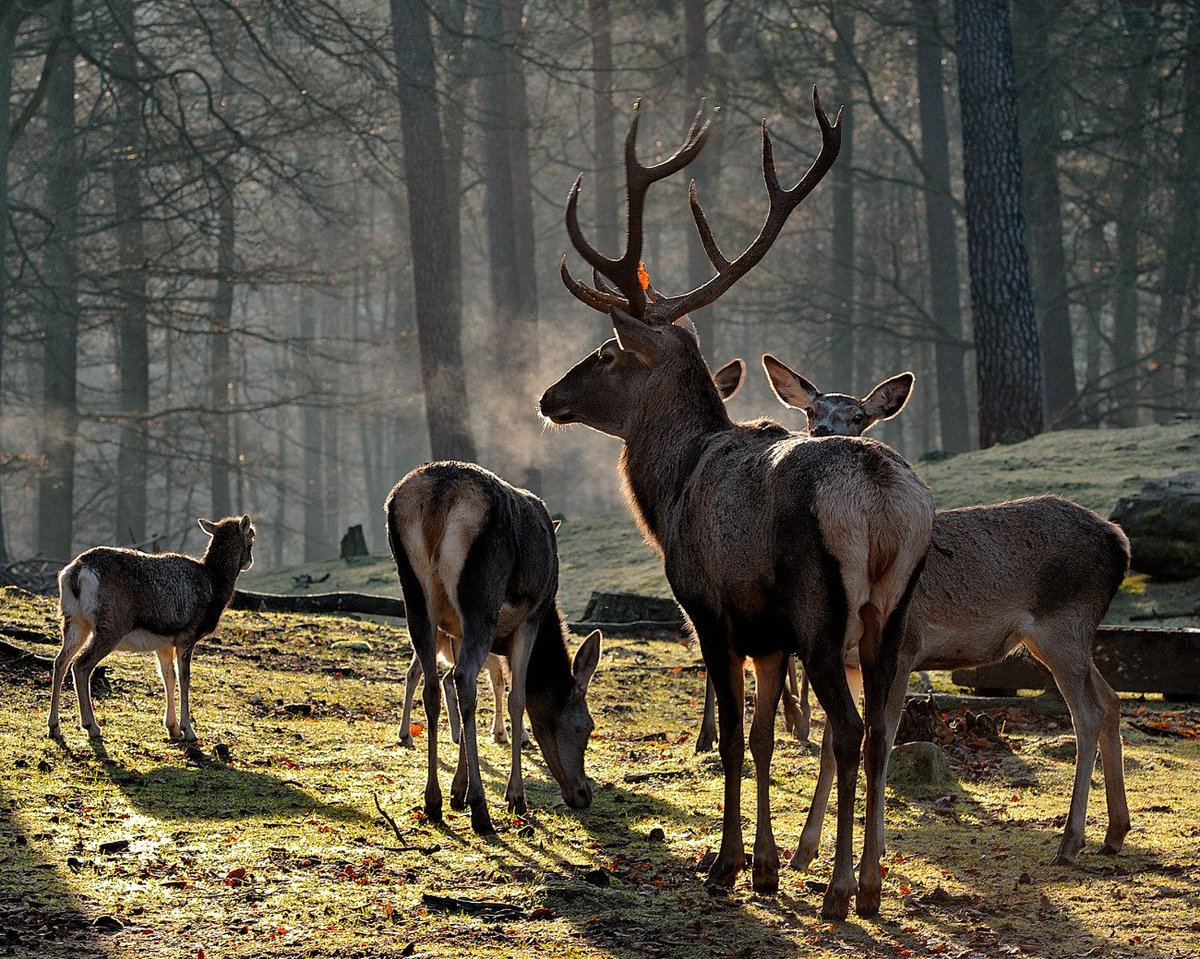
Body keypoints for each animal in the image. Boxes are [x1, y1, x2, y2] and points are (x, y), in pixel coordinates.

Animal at [48, 518, 255, 744]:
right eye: (252, 537)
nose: (249, 561)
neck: (214, 586)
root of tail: (77, 572)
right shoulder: (187, 634)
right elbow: (184, 678)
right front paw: (189, 731)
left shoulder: (164, 643)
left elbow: (168, 677)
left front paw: (172, 728)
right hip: (111, 626)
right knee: (81, 665)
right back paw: (91, 726)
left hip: (73, 620)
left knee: (60, 661)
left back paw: (54, 727)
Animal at [388, 460, 604, 835]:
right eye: (585, 727)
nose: (582, 795)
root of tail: (438, 496)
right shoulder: (531, 614)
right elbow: (518, 697)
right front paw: (514, 796)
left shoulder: (456, 630)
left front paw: (457, 791)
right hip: (481, 594)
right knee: (462, 678)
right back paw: (481, 810)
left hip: (415, 596)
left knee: (436, 683)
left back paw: (433, 801)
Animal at [537, 91, 936, 921]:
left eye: (607, 353)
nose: (548, 397)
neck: (670, 488)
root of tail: (884, 503)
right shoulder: (768, 634)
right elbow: (760, 737)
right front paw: (767, 867)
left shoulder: (711, 607)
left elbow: (727, 734)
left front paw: (726, 866)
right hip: (895, 613)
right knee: (881, 731)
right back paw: (872, 884)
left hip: (824, 611)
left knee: (846, 729)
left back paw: (839, 889)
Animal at [763, 357, 1128, 868]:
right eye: (812, 409)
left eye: (858, 416)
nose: (823, 430)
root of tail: (1121, 543)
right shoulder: (847, 660)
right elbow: (833, 746)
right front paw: (803, 851)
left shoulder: (905, 648)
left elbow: (881, 737)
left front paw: (869, 853)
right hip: (1063, 637)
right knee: (1112, 701)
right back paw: (1114, 833)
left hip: (1063, 625)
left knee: (1088, 714)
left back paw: (1070, 841)